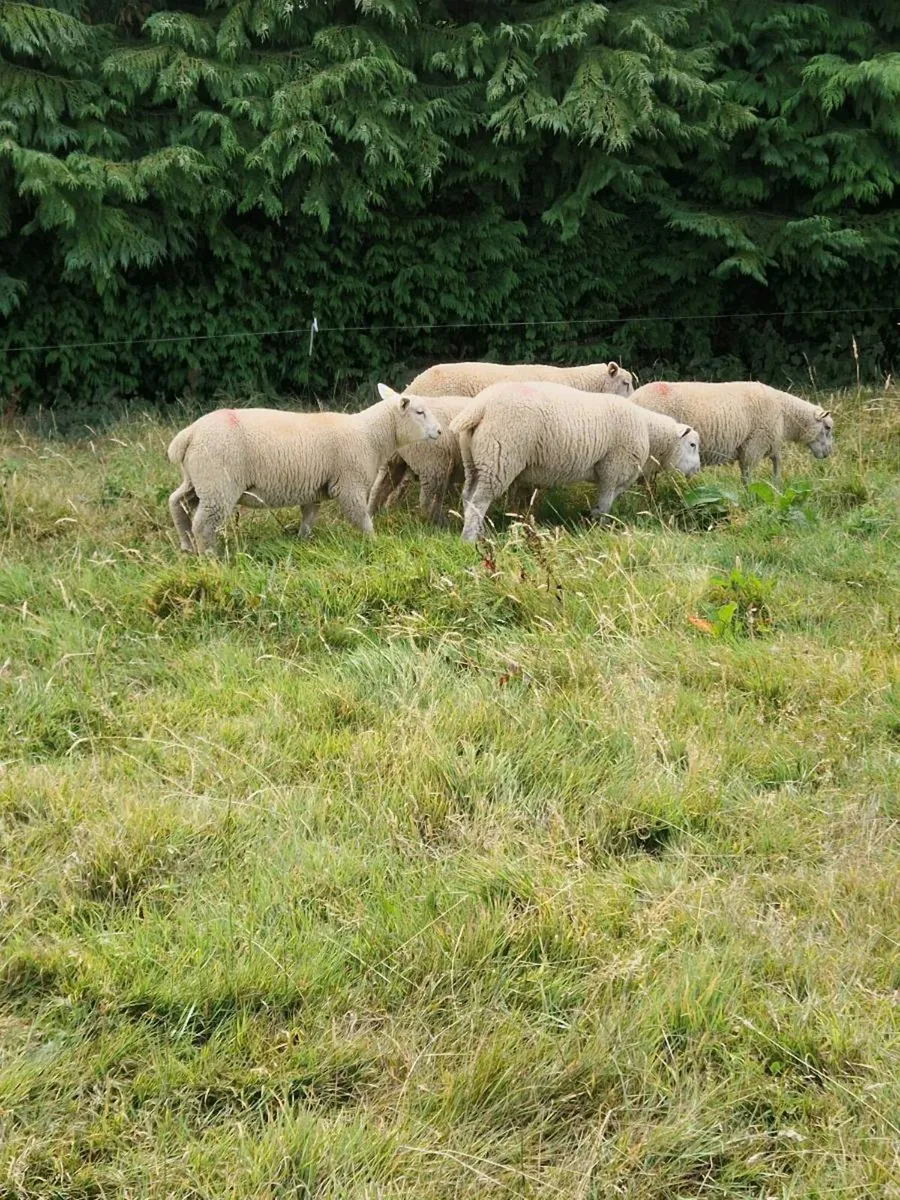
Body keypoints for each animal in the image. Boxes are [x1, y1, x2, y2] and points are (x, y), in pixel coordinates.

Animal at [167, 384, 441, 554]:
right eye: (420, 412)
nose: (439, 431)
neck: (370, 435)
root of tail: (188, 436)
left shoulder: (315, 489)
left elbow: (308, 518)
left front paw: (302, 542)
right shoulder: (349, 484)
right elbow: (361, 518)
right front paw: (375, 542)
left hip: (198, 480)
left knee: (177, 502)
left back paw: (186, 545)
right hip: (219, 483)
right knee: (203, 524)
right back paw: (210, 557)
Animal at [448, 381, 700, 542]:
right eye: (692, 445)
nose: (697, 470)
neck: (648, 431)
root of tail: (480, 407)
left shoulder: (613, 475)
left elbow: (604, 503)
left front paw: (591, 521)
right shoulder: (613, 469)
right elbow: (606, 504)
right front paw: (599, 529)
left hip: (475, 462)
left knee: (468, 497)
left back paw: (480, 532)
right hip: (500, 456)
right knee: (480, 500)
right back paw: (469, 539)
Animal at [629, 380, 834, 485]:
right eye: (828, 428)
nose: (828, 453)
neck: (784, 413)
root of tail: (633, 398)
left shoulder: (769, 442)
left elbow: (777, 461)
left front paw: (776, 486)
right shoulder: (755, 443)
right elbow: (748, 474)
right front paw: (748, 493)